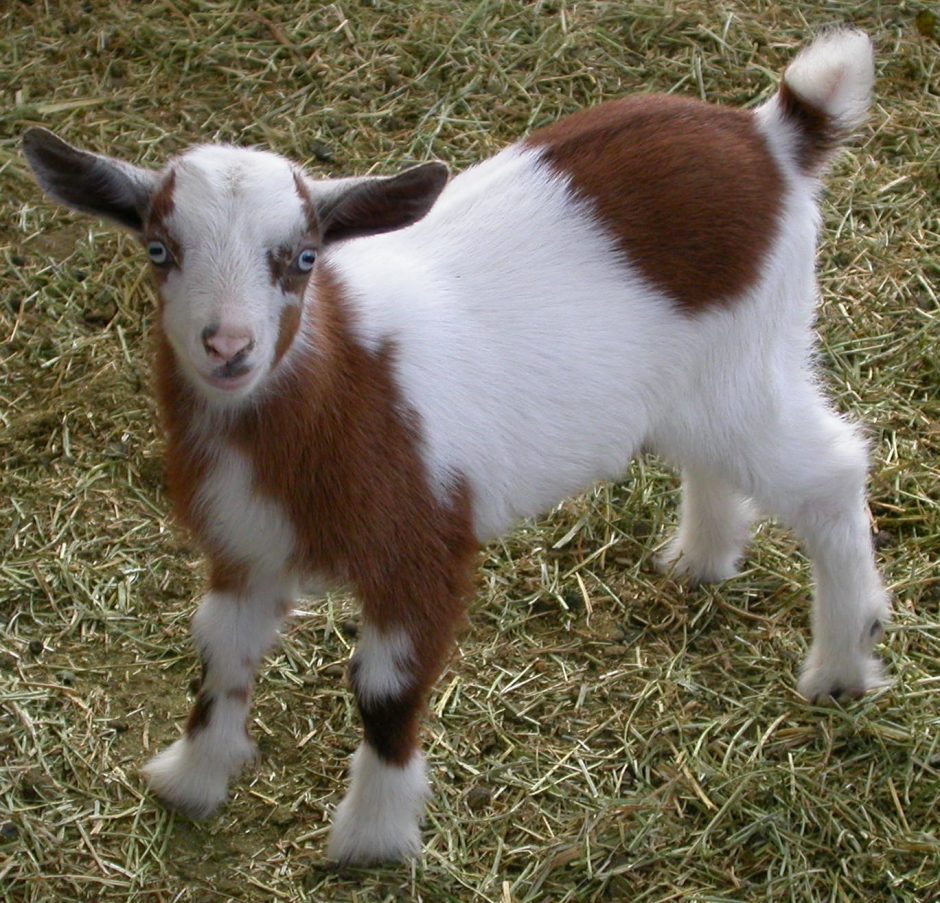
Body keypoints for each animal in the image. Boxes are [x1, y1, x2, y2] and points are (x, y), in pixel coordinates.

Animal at [23, 29, 888, 865]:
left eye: (302, 258)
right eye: (158, 249)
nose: (228, 347)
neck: (345, 382)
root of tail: (772, 137)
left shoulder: (422, 547)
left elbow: (385, 689)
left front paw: (372, 837)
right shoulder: (245, 546)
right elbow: (220, 652)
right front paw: (193, 778)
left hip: (750, 364)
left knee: (833, 472)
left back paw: (843, 663)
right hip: (704, 387)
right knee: (718, 462)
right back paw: (700, 559)